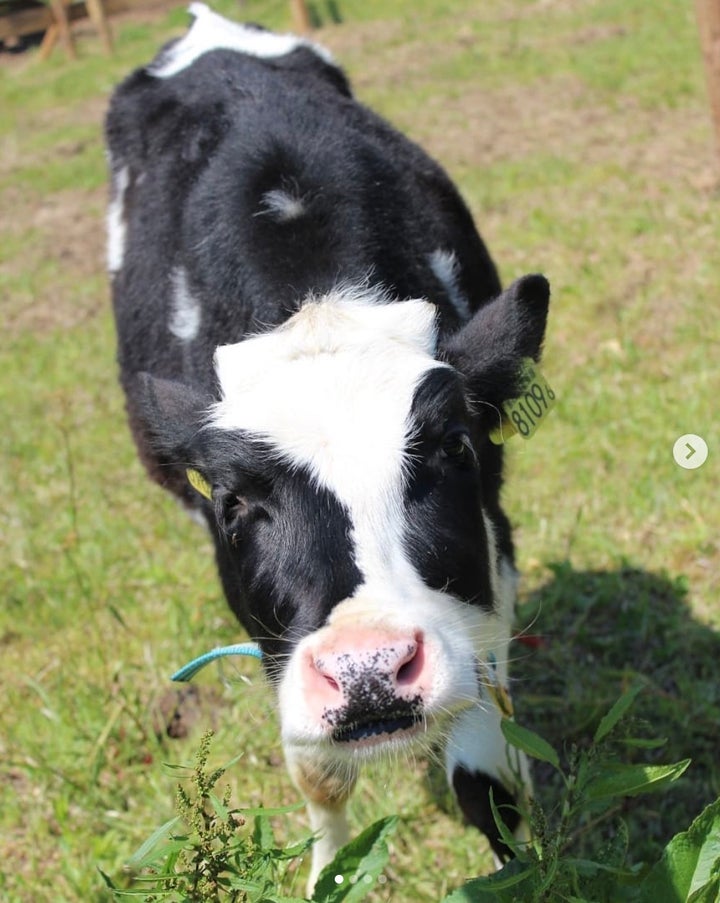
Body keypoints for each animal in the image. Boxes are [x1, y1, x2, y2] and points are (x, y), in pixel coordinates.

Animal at [105, 1, 552, 888]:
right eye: (235, 501)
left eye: (456, 449)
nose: (367, 671)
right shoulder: (264, 625)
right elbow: (316, 770)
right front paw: (327, 874)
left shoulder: (489, 555)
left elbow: (486, 778)